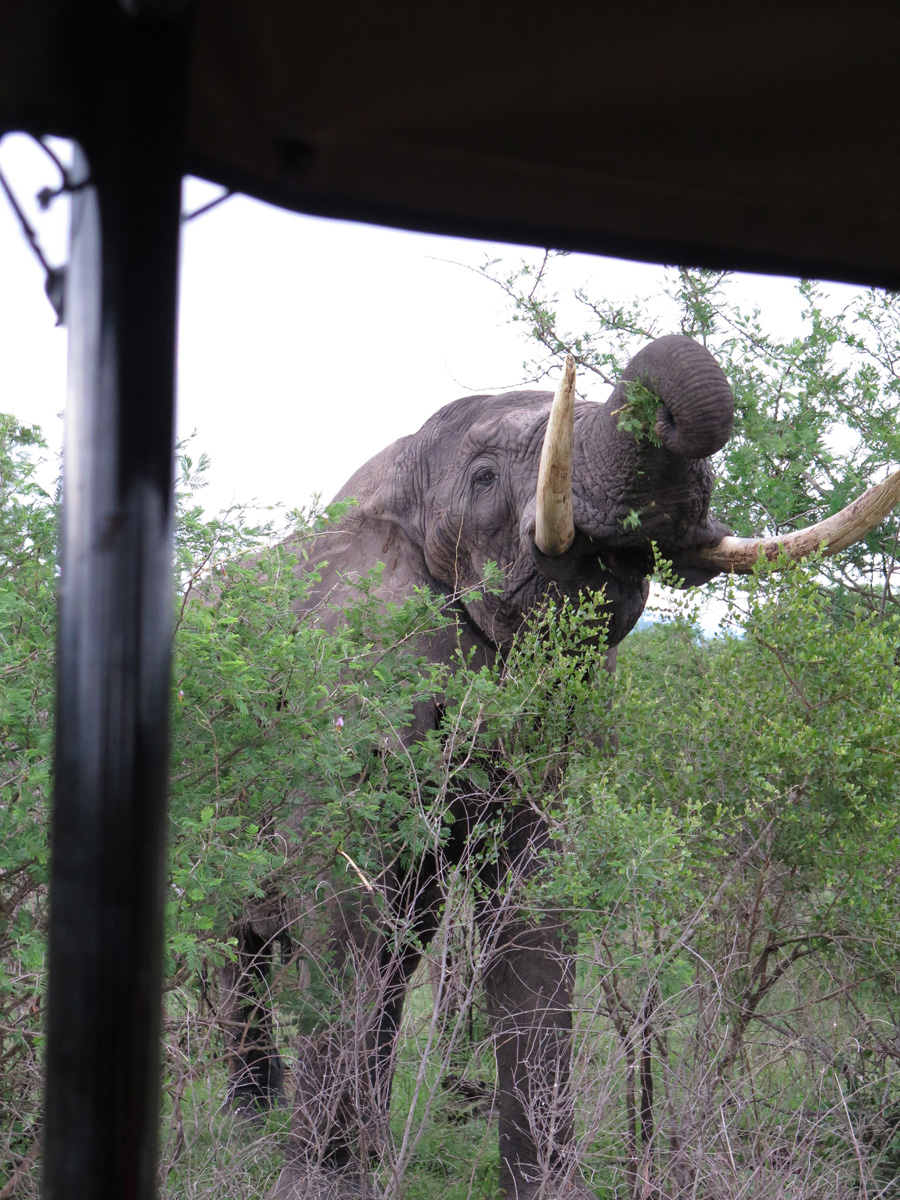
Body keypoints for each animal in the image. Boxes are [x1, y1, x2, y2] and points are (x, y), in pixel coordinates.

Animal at [221, 335, 900, 1200]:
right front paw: (317, 1186)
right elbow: (339, 908)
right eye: (482, 477)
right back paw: (250, 1122)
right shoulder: (345, 686)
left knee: (396, 953)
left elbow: (536, 909)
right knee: (242, 946)